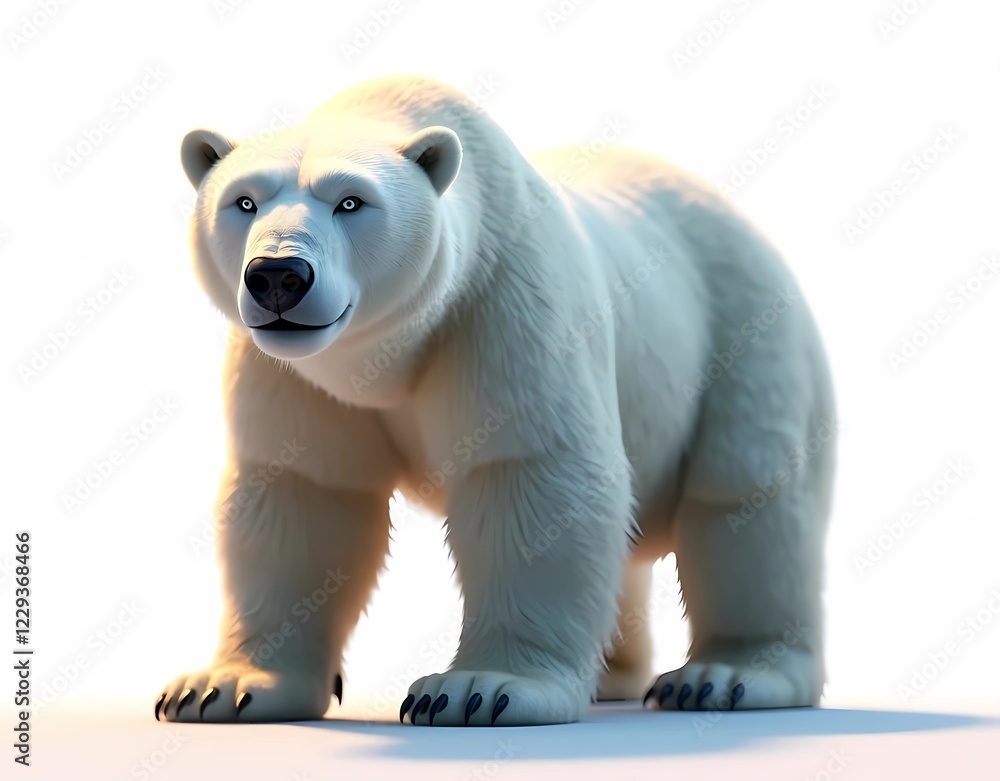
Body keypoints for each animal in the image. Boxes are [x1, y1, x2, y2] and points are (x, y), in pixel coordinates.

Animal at [156, 74, 835, 727]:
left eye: (350, 201)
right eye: (244, 200)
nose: (278, 276)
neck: (386, 355)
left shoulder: (503, 305)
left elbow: (534, 478)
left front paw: (478, 691)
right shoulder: (296, 376)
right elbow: (304, 496)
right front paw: (223, 687)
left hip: (744, 341)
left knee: (746, 500)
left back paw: (724, 676)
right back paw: (614, 675)